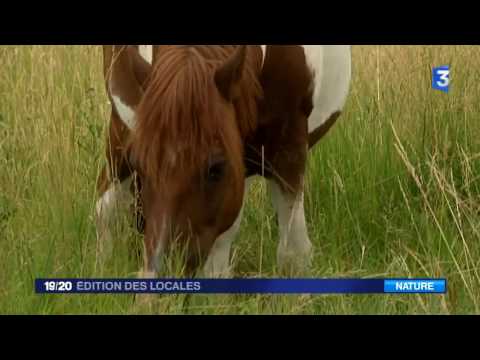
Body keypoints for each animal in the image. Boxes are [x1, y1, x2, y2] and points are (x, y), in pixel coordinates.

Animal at [95, 45, 350, 278]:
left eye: (215, 169)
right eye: (140, 164)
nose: (165, 270)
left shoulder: (288, 150)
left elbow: (293, 255)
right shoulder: (125, 126)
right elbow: (105, 210)